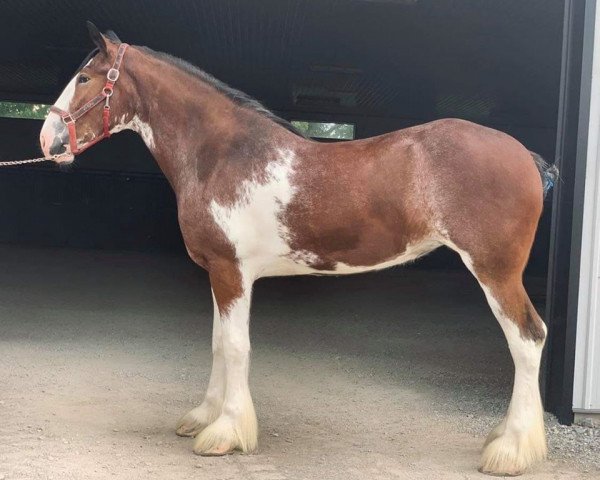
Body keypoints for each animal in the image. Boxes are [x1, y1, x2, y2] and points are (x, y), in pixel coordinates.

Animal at [41, 23, 556, 476]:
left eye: (85, 77)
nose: (48, 139)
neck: (221, 154)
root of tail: (526, 156)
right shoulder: (218, 274)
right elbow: (217, 343)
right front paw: (204, 417)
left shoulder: (231, 273)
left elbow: (235, 346)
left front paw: (225, 433)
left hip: (495, 271)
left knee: (527, 339)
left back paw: (511, 451)